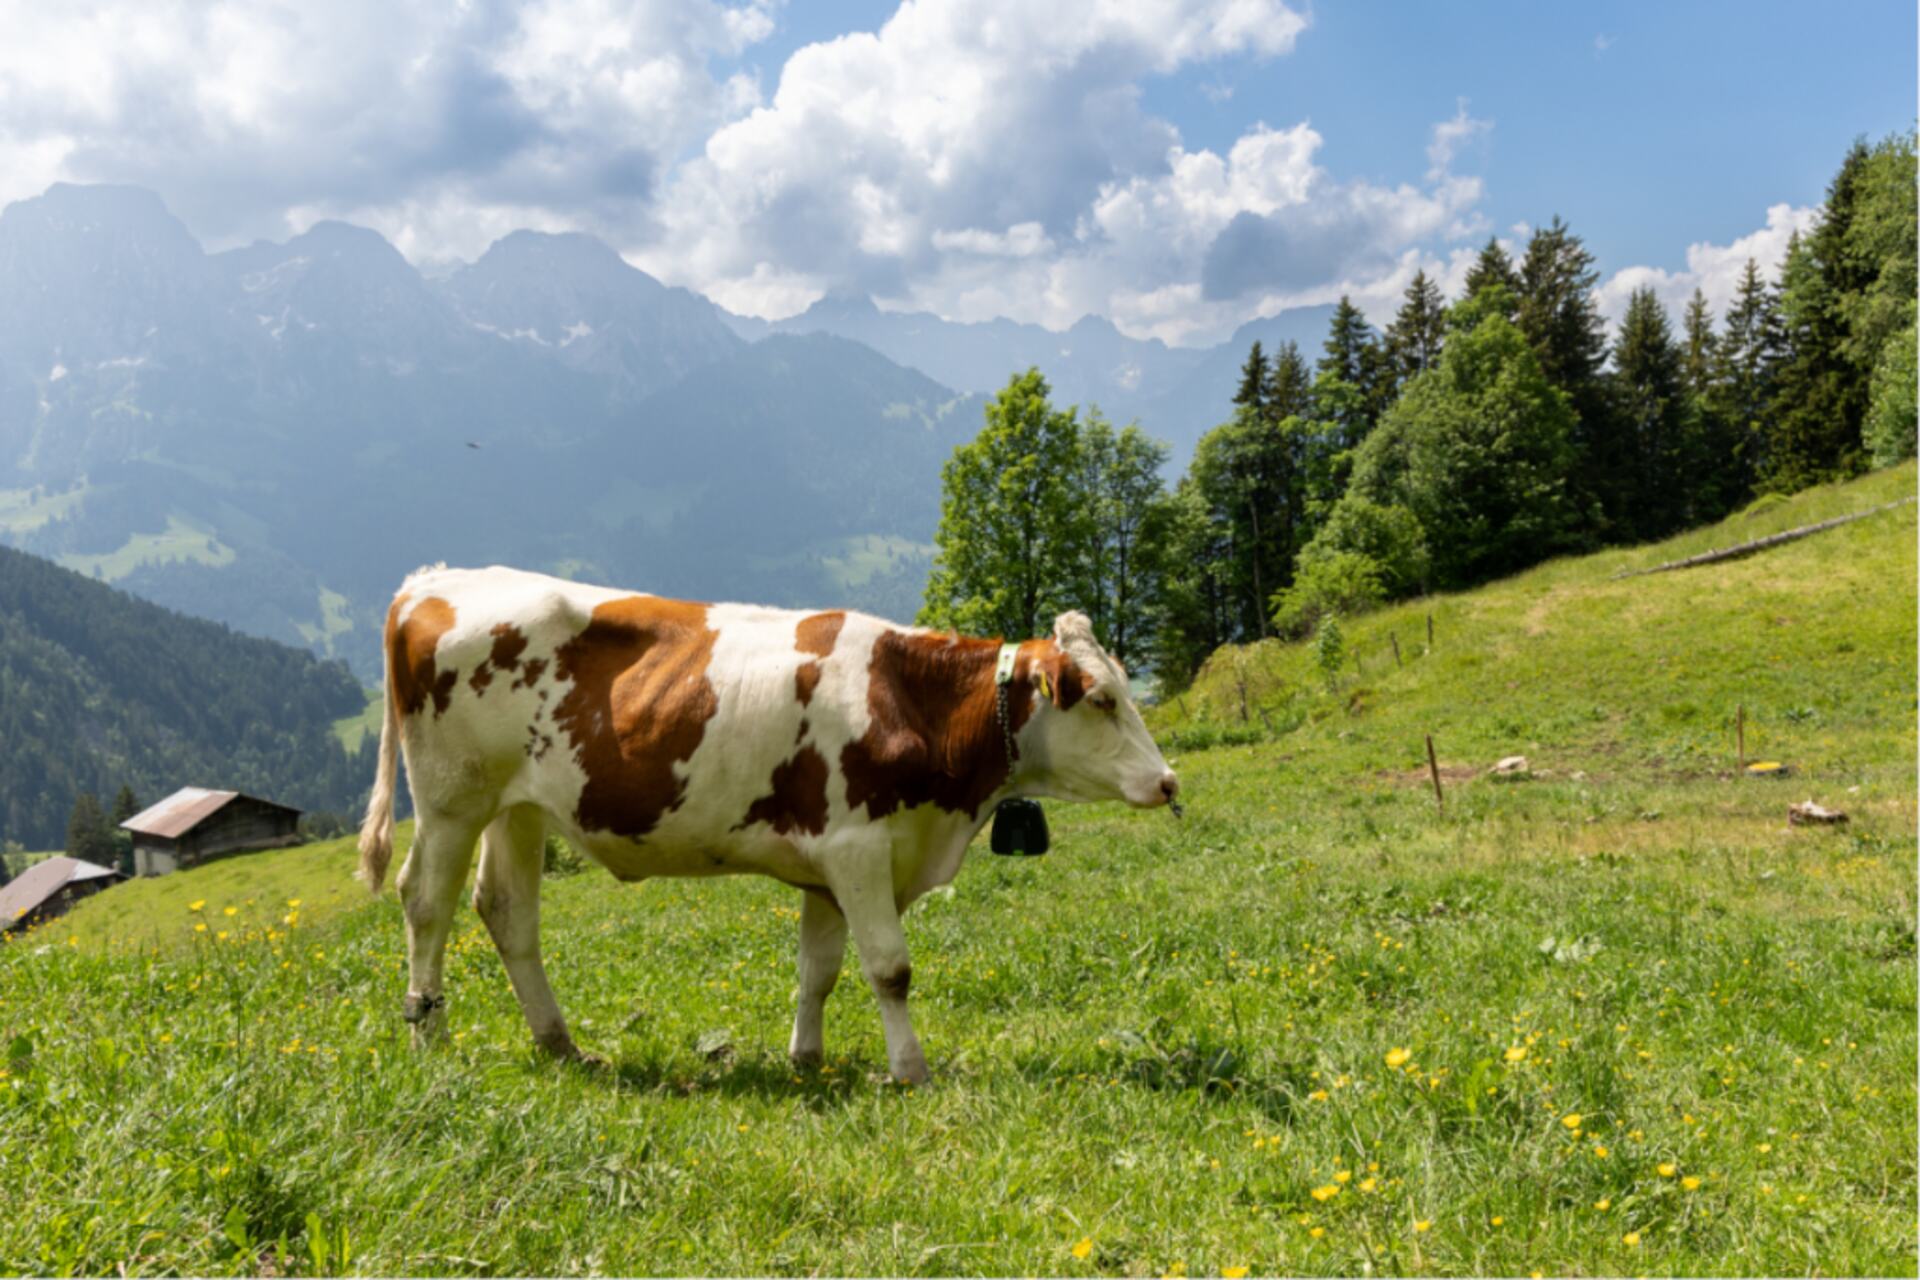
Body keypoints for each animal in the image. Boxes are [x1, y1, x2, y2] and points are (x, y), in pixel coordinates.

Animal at [357, 565, 1179, 1083]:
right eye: (1101, 698)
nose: (1168, 781)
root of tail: (431, 582)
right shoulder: (858, 847)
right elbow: (891, 968)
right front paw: (910, 1070)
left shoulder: (833, 864)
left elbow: (820, 970)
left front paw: (806, 1060)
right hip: (452, 801)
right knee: (424, 904)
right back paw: (429, 1036)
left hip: (519, 808)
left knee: (506, 911)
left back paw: (561, 1046)